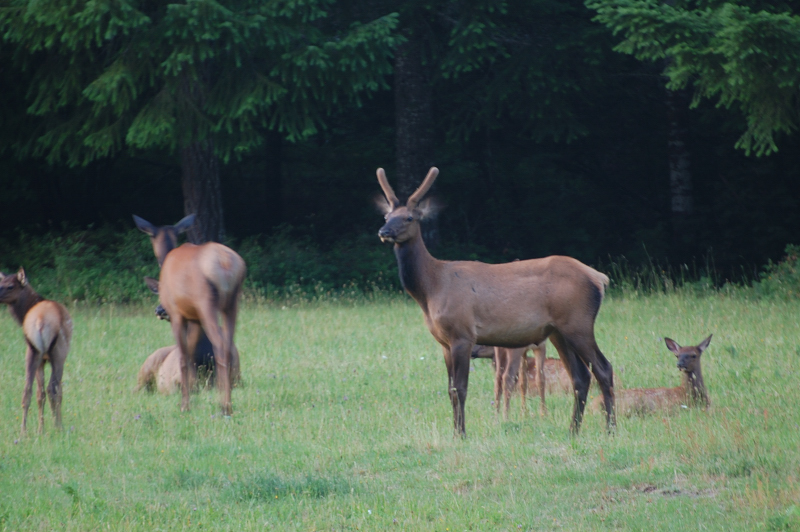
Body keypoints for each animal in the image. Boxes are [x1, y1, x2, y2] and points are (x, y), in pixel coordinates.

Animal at [0, 268, 73, 435]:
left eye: (10, 286)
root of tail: (40, 321)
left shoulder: (41, 360)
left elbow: (40, 395)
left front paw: (40, 428)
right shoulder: (54, 357)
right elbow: (55, 391)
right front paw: (52, 426)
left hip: (33, 351)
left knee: (27, 390)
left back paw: (24, 431)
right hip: (58, 351)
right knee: (54, 389)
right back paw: (58, 427)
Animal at [133, 214, 246, 415]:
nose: (159, 310)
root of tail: (225, 264)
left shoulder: (177, 313)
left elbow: (183, 357)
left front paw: (185, 405)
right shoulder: (193, 317)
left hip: (206, 302)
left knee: (218, 345)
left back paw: (224, 406)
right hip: (232, 303)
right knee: (227, 342)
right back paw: (227, 402)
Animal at [375, 167, 615, 436]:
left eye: (409, 218)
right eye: (386, 216)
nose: (384, 232)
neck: (431, 290)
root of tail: (599, 278)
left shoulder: (463, 334)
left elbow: (460, 389)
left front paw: (461, 434)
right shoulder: (444, 343)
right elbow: (450, 390)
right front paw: (455, 432)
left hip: (578, 323)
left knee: (604, 368)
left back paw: (610, 429)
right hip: (558, 331)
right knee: (581, 376)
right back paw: (573, 429)